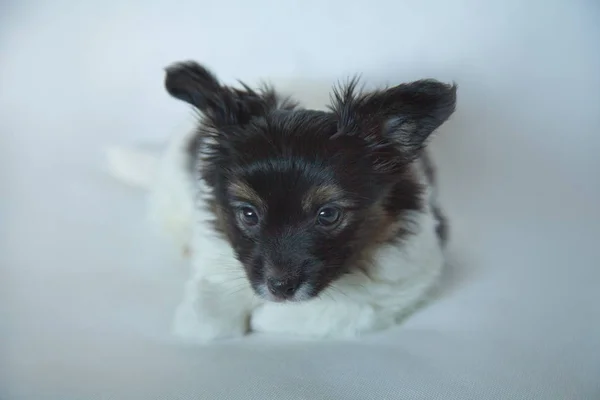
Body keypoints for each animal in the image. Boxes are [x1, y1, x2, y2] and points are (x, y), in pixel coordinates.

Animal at [106, 61, 454, 342]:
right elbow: (205, 323)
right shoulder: (217, 255)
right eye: (248, 214)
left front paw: (266, 317)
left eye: (328, 215)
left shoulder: (407, 280)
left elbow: (338, 310)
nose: (280, 288)